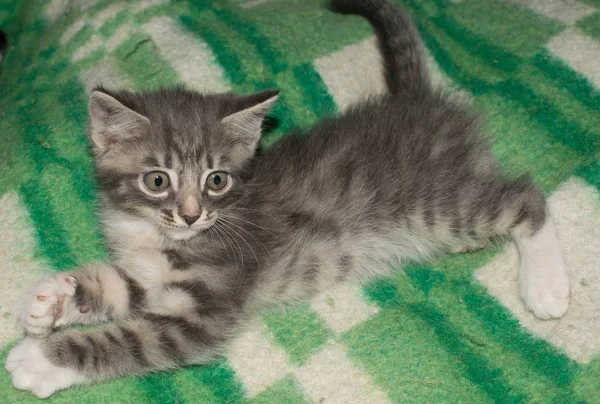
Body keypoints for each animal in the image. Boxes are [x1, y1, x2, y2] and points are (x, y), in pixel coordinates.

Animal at [5, 0, 568, 398]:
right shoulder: (149, 276)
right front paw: (51, 298)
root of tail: (420, 103)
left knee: (525, 198)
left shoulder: (201, 310)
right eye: (157, 180)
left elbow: (124, 339)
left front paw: (41, 359)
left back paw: (545, 285)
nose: (190, 215)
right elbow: (113, 286)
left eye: (216, 180)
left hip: (434, 205)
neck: (161, 235)